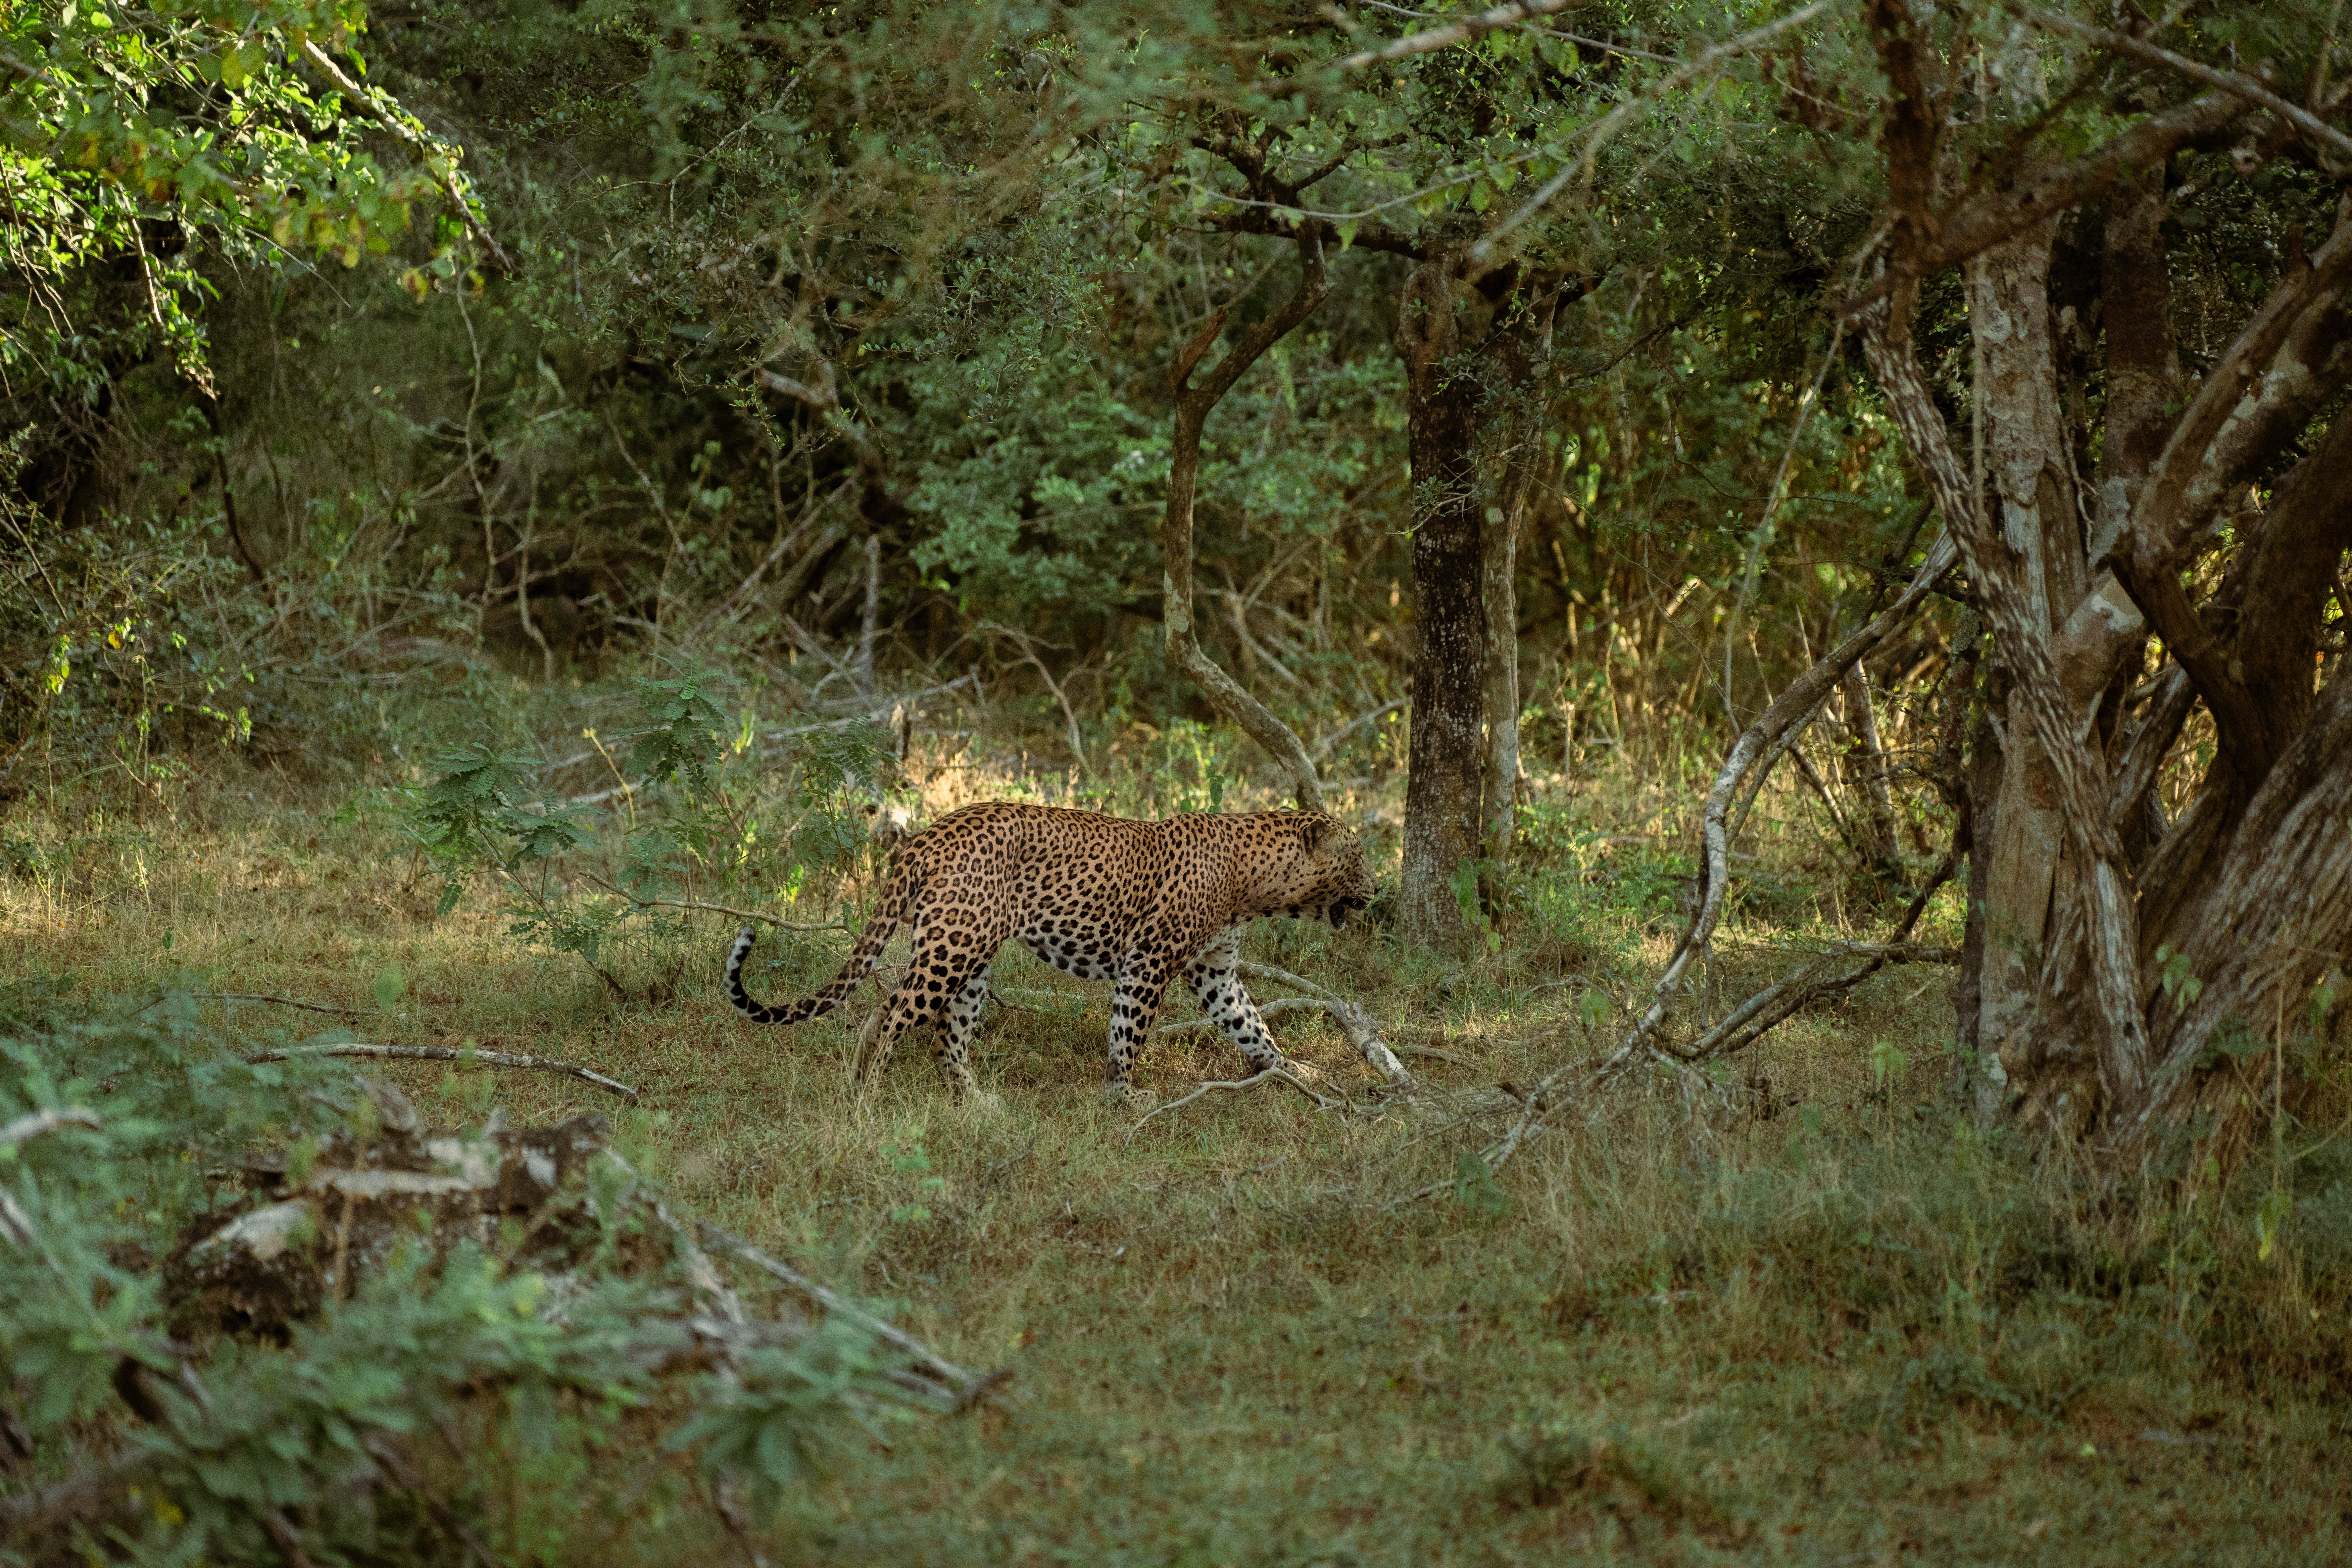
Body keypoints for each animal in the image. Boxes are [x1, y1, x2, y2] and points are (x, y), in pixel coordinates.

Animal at [720, 804, 1373, 1110]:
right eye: (1360, 856)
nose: (1379, 886)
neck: (1256, 886)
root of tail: (927, 836)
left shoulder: (1214, 971)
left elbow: (1252, 1026)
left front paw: (1299, 1072)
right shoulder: (1150, 961)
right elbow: (1128, 1031)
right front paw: (1125, 1097)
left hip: (969, 955)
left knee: (939, 1034)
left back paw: (973, 1104)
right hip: (953, 947)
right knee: (892, 1018)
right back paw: (867, 1102)